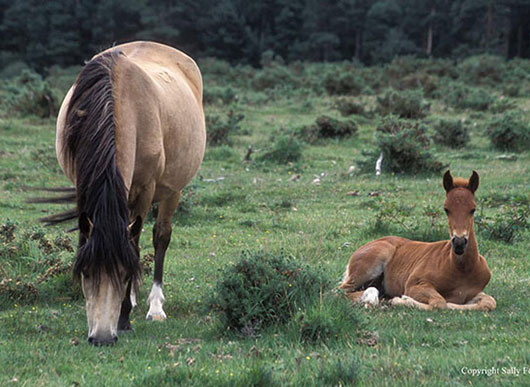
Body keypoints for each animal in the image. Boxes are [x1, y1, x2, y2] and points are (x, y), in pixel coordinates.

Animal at [48, 41, 204, 346]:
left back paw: (154, 307)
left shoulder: (145, 190)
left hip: (173, 189)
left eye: (122, 272)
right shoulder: (82, 185)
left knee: (159, 237)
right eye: (86, 272)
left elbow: (134, 245)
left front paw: (123, 317)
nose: (102, 337)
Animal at [338, 171, 496, 310]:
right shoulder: (414, 284)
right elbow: (439, 302)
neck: (462, 269)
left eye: (473, 209)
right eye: (446, 209)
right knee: (340, 291)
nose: (459, 243)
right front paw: (401, 300)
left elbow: (489, 302)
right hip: (373, 261)